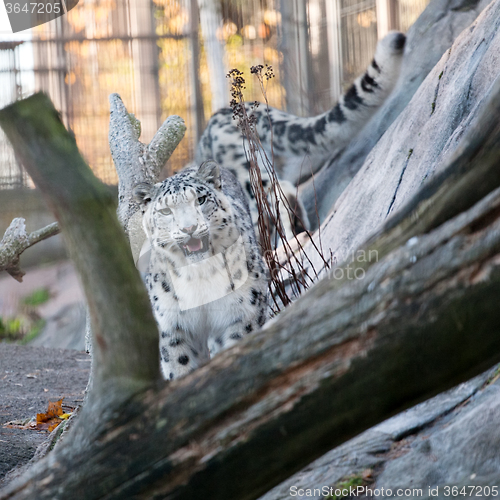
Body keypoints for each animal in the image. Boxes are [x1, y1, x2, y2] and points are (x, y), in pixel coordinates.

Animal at [132, 160, 266, 378]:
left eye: (200, 200)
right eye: (165, 211)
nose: (190, 228)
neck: (200, 275)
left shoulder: (244, 313)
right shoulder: (173, 326)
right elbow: (180, 365)